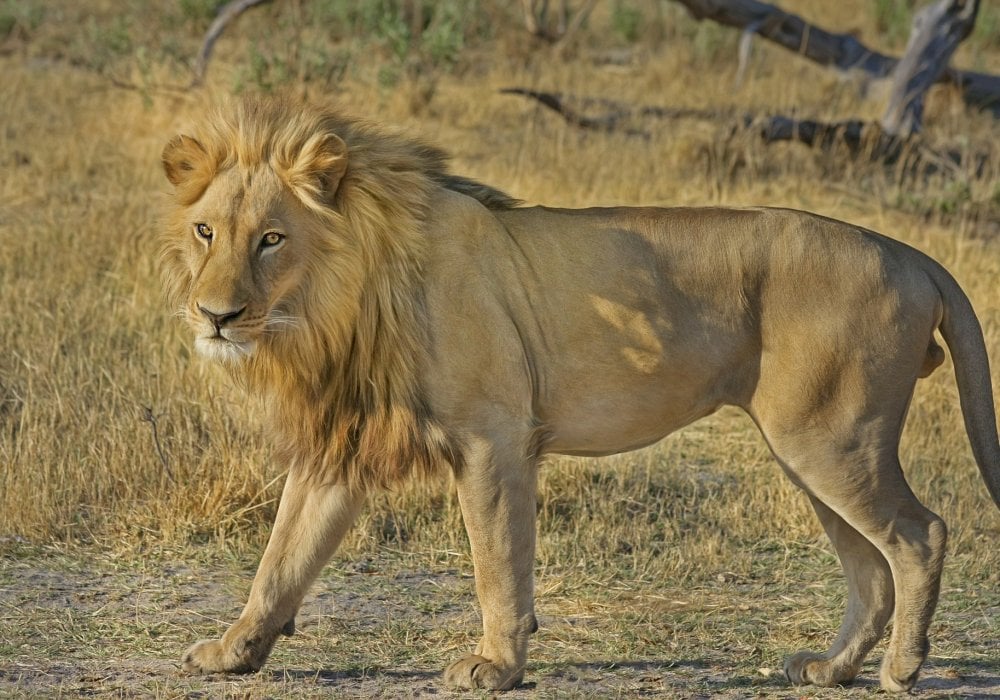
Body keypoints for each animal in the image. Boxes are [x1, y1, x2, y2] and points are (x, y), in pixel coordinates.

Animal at [160, 95, 1000, 692]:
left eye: (272, 238)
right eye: (206, 232)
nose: (215, 315)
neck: (336, 305)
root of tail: (909, 252)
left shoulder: (492, 437)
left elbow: (498, 562)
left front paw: (495, 668)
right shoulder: (341, 446)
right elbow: (281, 560)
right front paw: (233, 652)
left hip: (831, 438)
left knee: (920, 535)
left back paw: (902, 670)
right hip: (811, 449)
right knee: (870, 567)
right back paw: (833, 670)